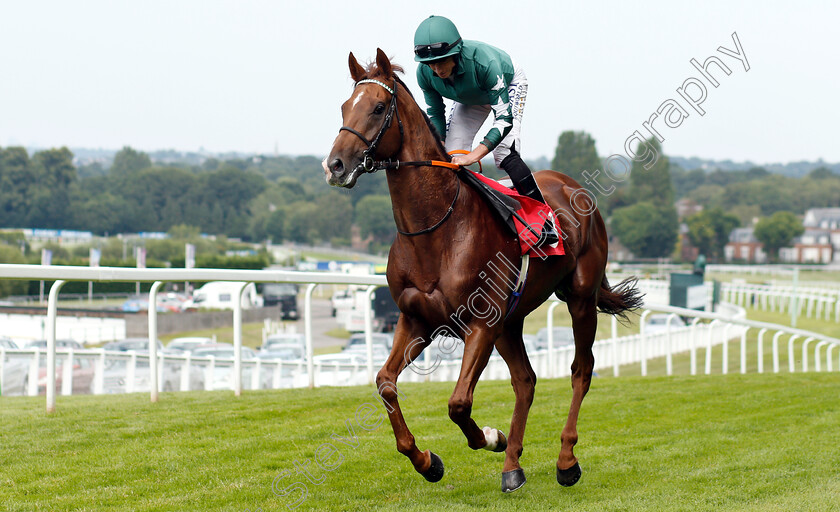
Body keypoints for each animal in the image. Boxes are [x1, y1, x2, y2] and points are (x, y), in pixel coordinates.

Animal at [324, 49, 640, 492]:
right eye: (344, 106)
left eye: (379, 107)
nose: (335, 165)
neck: (436, 229)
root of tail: (572, 186)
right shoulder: (416, 320)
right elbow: (385, 384)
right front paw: (428, 461)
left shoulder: (480, 323)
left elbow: (458, 403)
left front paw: (490, 437)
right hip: (511, 321)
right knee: (526, 381)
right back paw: (512, 466)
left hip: (578, 299)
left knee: (581, 370)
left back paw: (565, 460)